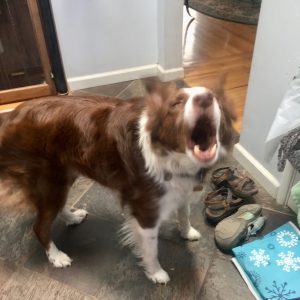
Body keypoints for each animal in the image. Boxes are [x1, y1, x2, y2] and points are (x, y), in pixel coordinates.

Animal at [0, 79, 234, 284]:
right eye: (176, 103)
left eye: (215, 99)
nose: (205, 98)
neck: (171, 155)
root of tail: (12, 116)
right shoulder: (145, 210)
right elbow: (151, 248)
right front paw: (156, 273)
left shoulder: (182, 190)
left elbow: (184, 213)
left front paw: (187, 233)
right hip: (48, 180)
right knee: (39, 226)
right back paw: (57, 257)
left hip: (63, 175)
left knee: (57, 208)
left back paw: (72, 218)